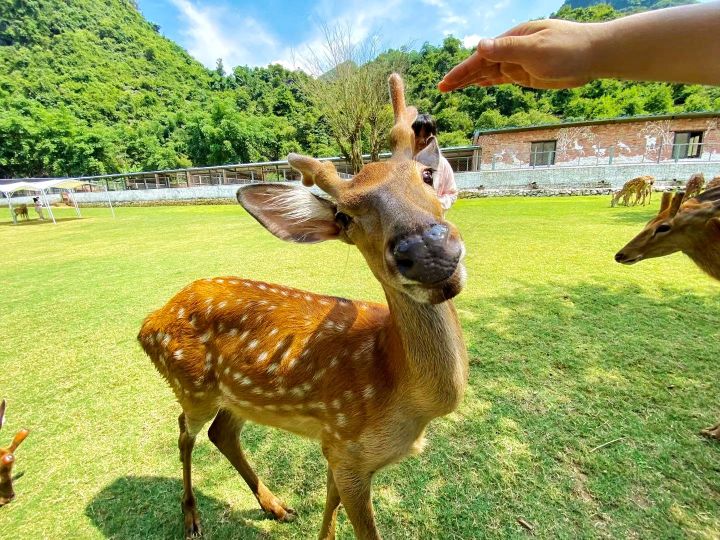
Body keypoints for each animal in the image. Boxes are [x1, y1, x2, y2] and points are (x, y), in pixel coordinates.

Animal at [138, 73, 468, 539]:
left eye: (426, 175)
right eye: (345, 216)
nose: (425, 249)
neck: (407, 398)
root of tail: (148, 321)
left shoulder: (337, 444)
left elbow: (330, 503)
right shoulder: (348, 446)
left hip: (237, 396)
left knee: (222, 433)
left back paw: (275, 506)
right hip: (190, 384)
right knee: (185, 431)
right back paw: (192, 518)